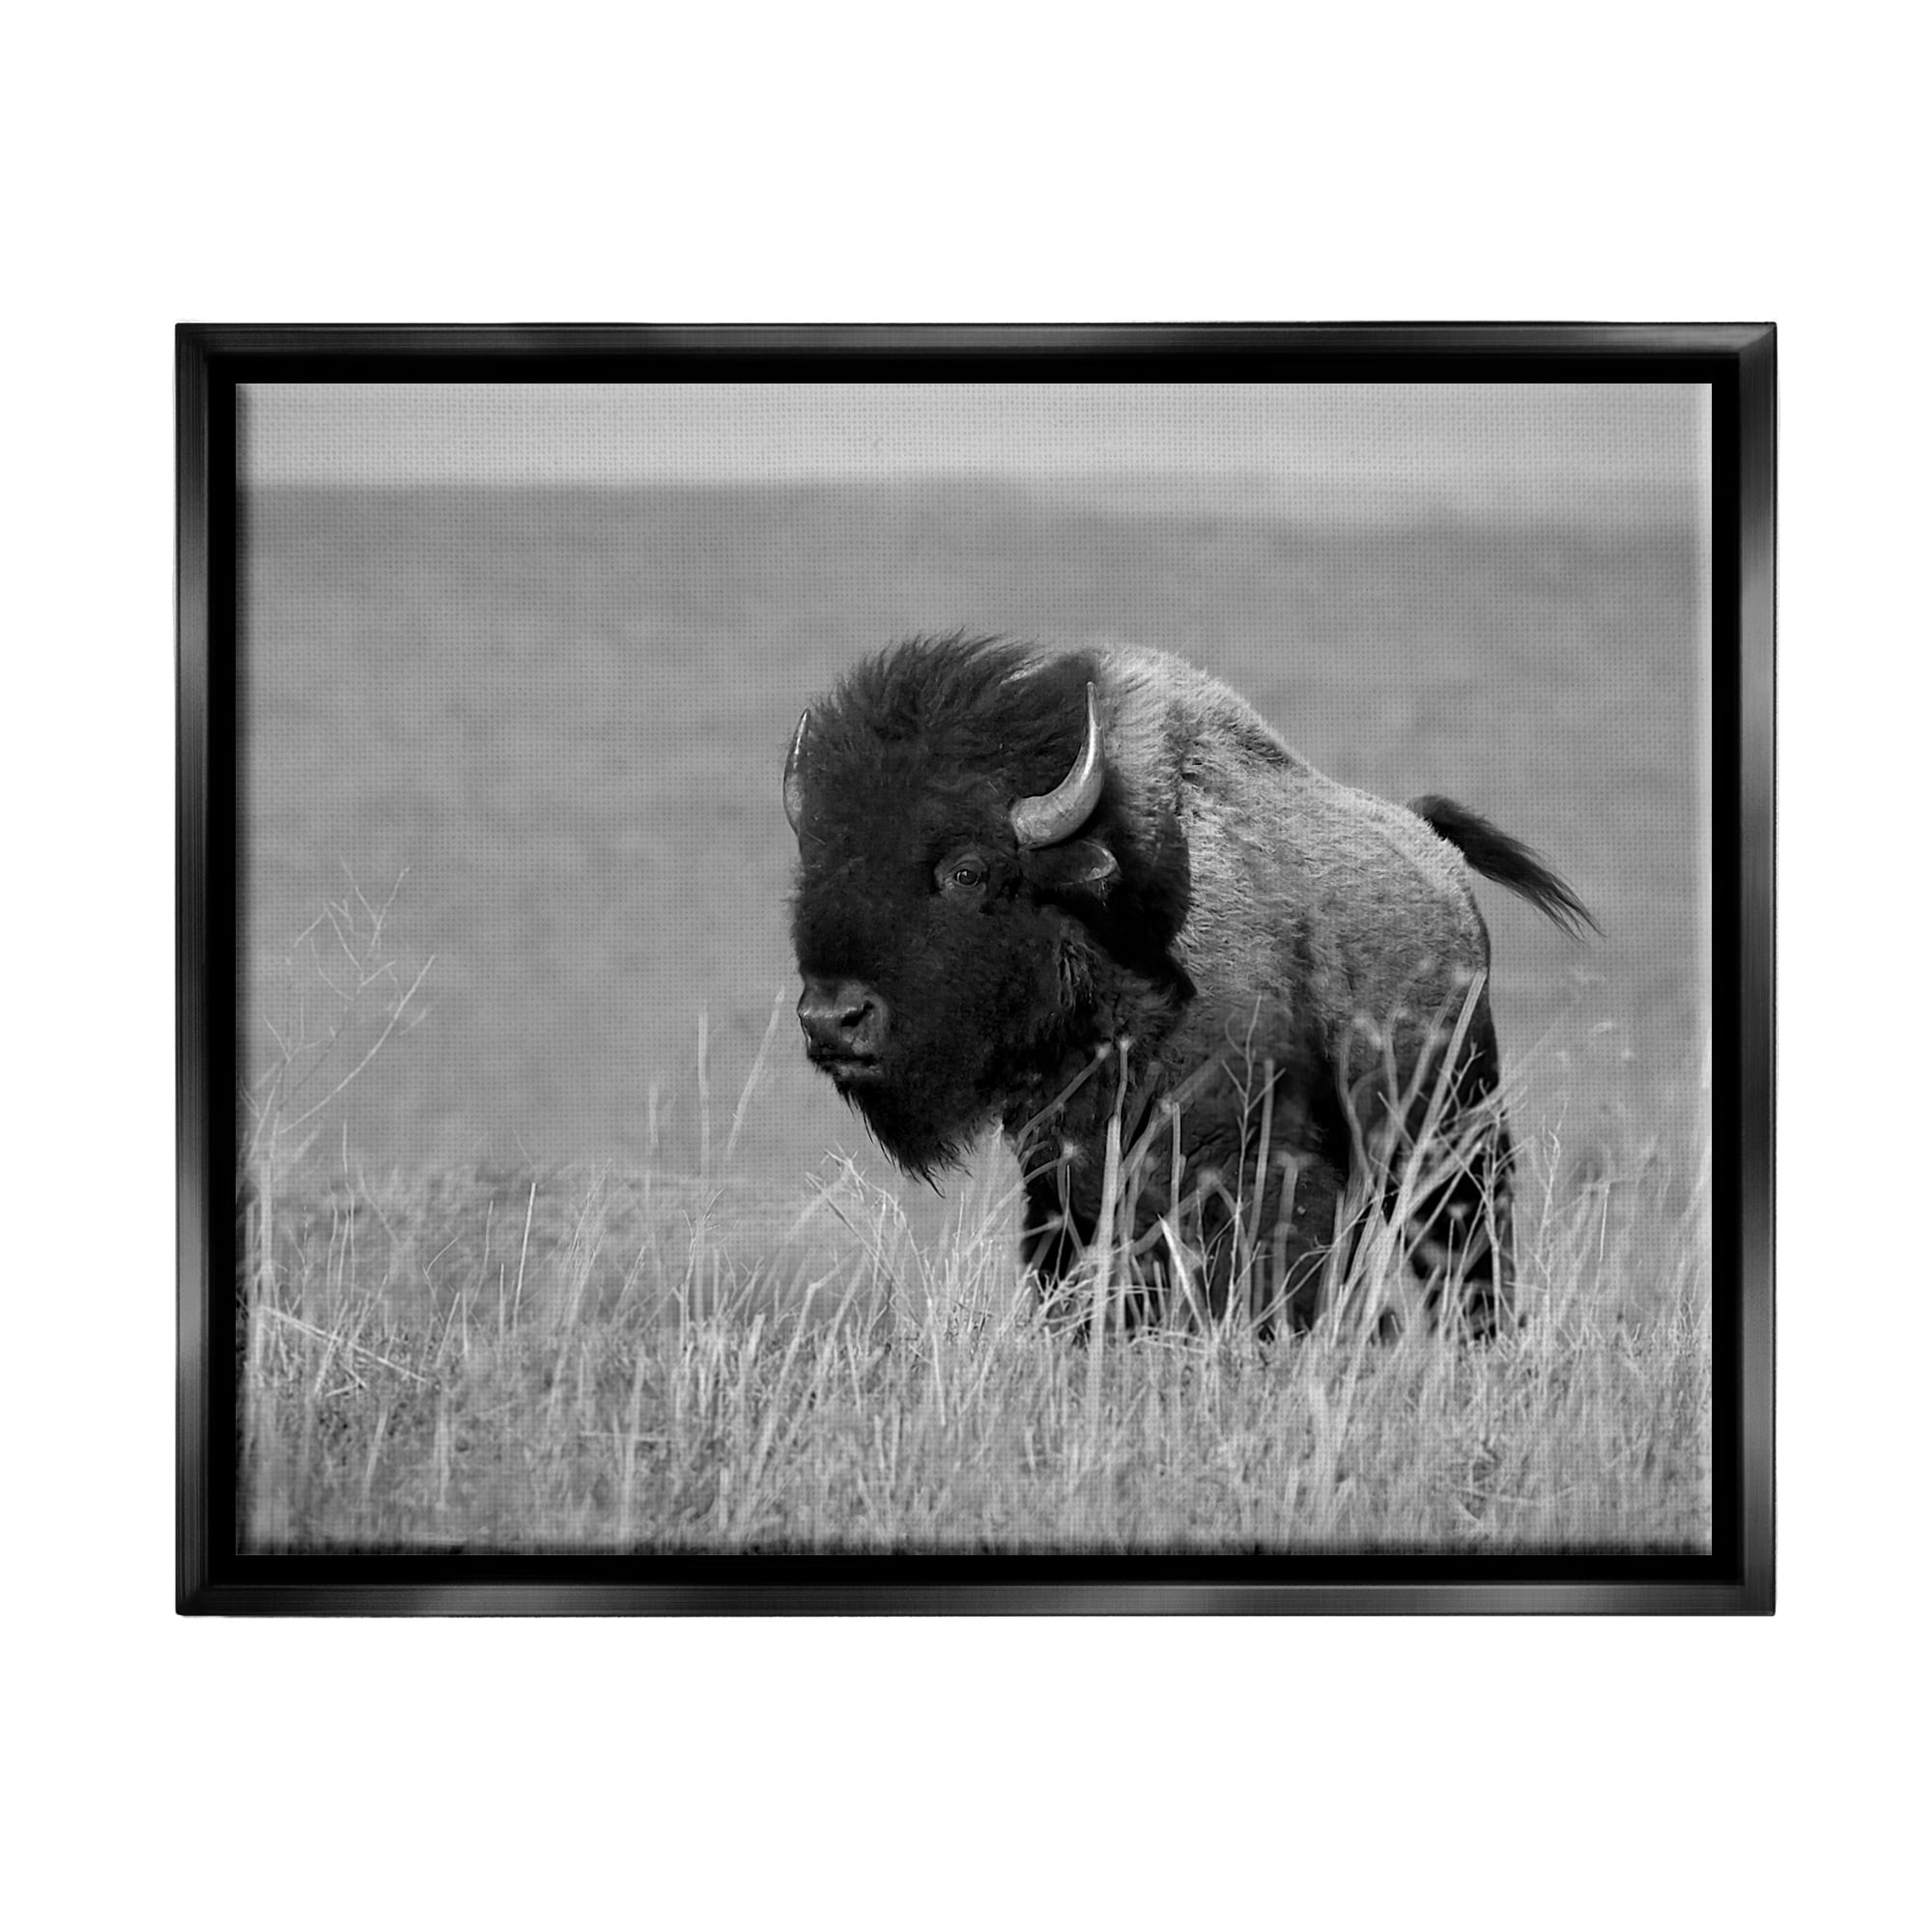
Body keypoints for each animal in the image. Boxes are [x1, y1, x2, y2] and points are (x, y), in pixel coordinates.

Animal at [784, 634, 1594, 1335]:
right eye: (818, 866)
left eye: (967, 870)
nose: (832, 1018)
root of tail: (1441, 865)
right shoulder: (1067, 1184)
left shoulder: (1260, 1167)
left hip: (1457, 1137)